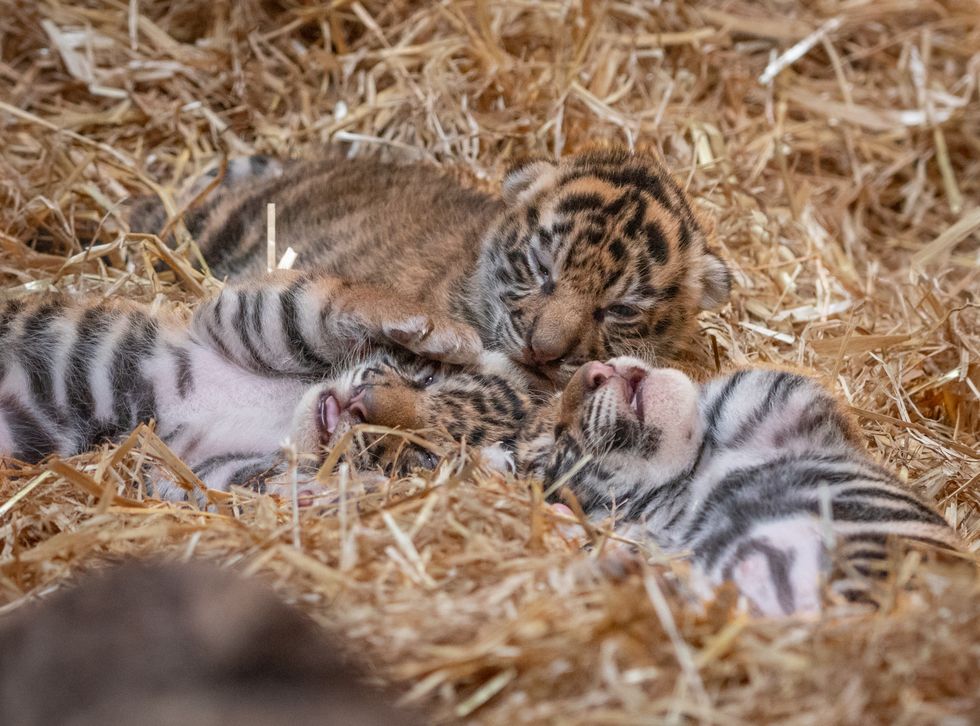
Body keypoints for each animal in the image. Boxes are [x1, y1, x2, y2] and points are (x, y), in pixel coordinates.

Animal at [0, 276, 531, 501]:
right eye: (426, 378)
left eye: (416, 452)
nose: (362, 405)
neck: (281, 417)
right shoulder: (235, 321)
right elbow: (325, 309)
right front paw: (443, 331)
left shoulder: (197, 468)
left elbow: (247, 485)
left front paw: (346, 489)